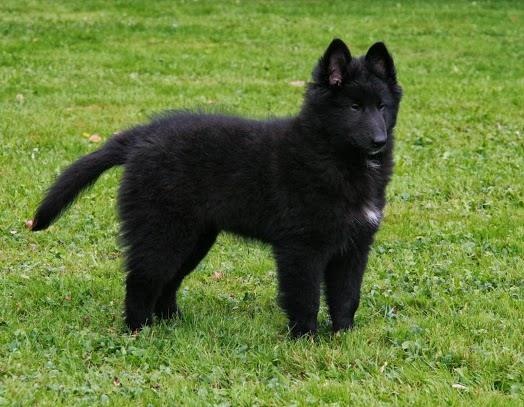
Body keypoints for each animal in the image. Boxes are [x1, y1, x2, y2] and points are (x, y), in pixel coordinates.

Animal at [32, 38, 402, 337]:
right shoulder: (301, 248)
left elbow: (346, 297)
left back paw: (171, 322)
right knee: (142, 279)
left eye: (382, 107)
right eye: (354, 107)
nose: (379, 141)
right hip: (162, 230)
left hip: (194, 237)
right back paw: (138, 330)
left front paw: (344, 337)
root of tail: (143, 135)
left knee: (167, 282)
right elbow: (305, 298)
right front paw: (306, 339)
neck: (333, 155)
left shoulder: (354, 246)